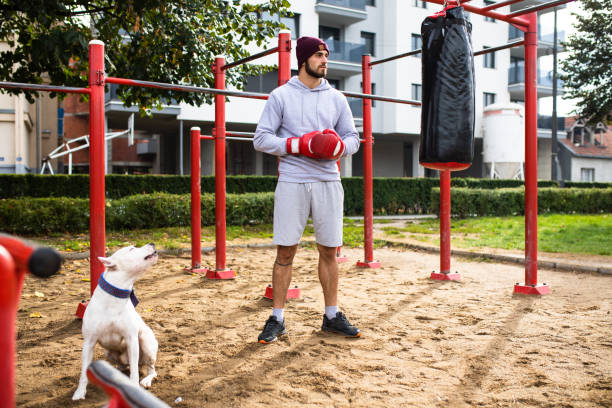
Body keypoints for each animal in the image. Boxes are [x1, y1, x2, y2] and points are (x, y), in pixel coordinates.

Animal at [72, 244, 159, 400]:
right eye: (131, 249)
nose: (152, 243)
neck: (115, 299)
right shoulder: (89, 343)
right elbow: (83, 373)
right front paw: (79, 392)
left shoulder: (132, 339)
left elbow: (134, 373)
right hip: (108, 353)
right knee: (124, 366)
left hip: (146, 341)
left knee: (150, 369)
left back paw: (147, 380)